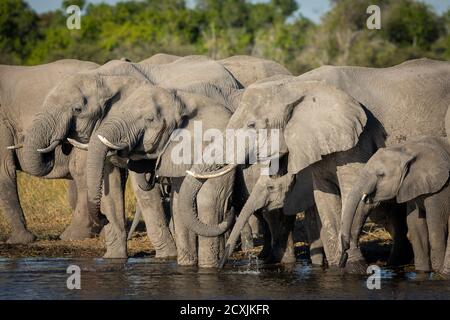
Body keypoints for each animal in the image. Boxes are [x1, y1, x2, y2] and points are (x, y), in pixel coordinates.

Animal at [342, 136, 450, 276]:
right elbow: (415, 225)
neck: (406, 149)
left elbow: (436, 227)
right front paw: (422, 272)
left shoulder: (441, 188)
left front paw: (438, 273)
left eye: (381, 175)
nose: (346, 249)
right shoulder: (410, 184)